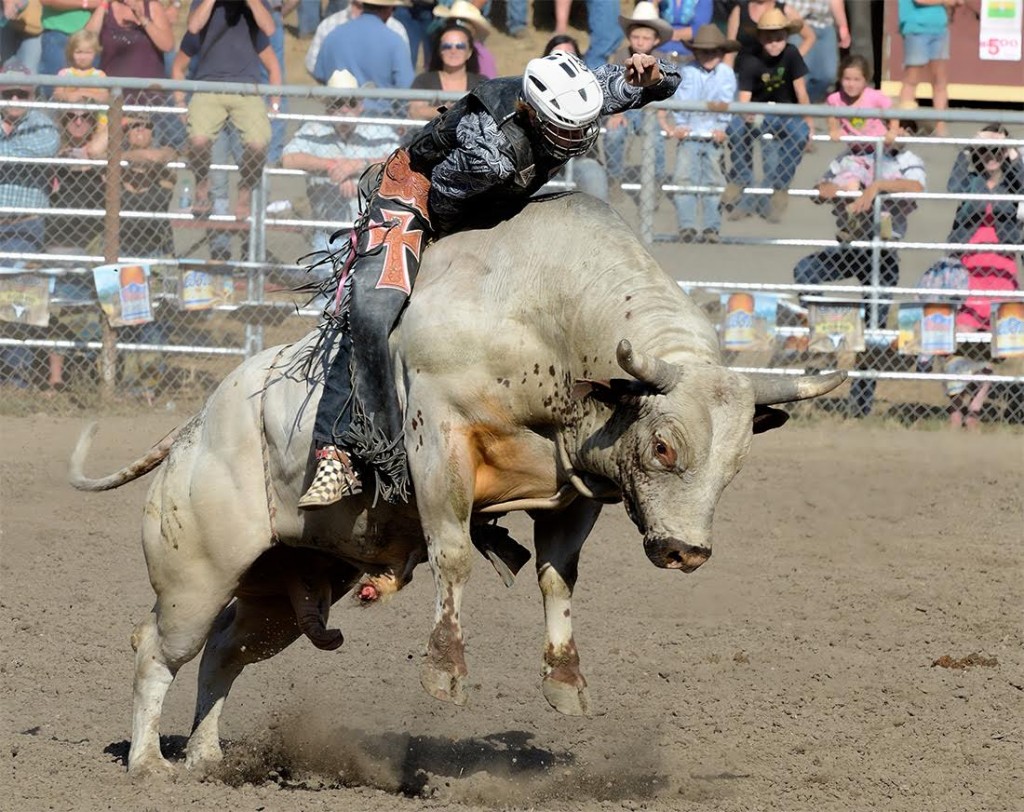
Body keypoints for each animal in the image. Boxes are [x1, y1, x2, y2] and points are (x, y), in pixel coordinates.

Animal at [70, 193, 839, 774]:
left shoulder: (576, 491)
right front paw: (444, 670)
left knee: (226, 651)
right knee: (159, 647)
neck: (547, 316)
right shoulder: (437, 435)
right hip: (194, 572)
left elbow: (557, 578)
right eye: (664, 444)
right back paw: (148, 764)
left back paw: (204, 758)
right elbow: (454, 552)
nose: (687, 552)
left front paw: (565, 684)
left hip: (282, 592)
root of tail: (195, 425)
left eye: (734, 465)